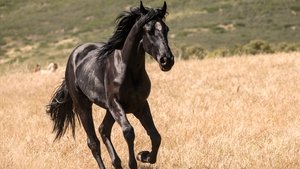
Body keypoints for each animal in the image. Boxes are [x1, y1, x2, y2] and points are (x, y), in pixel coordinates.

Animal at [46, 1, 173, 169]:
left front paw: (144, 156)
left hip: (109, 109)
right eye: (149, 31)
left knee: (103, 130)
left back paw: (117, 162)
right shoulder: (116, 104)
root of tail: (74, 56)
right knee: (93, 142)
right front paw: (134, 161)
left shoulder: (140, 105)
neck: (128, 70)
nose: (167, 60)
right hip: (83, 106)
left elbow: (155, 135)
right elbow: (128, 132)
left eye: (166, 29)